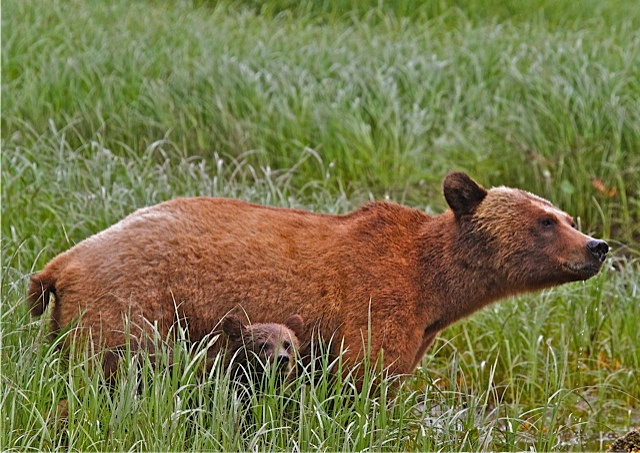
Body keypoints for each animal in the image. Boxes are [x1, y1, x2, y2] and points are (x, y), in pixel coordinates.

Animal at [27, 171, 608, 380]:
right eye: (545, 221)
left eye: (567, 216)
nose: (597, 246)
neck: (435, 289)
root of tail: (65, 259)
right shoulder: (375, 303)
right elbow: (366, 379)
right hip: (128, 310)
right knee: (106, 369)